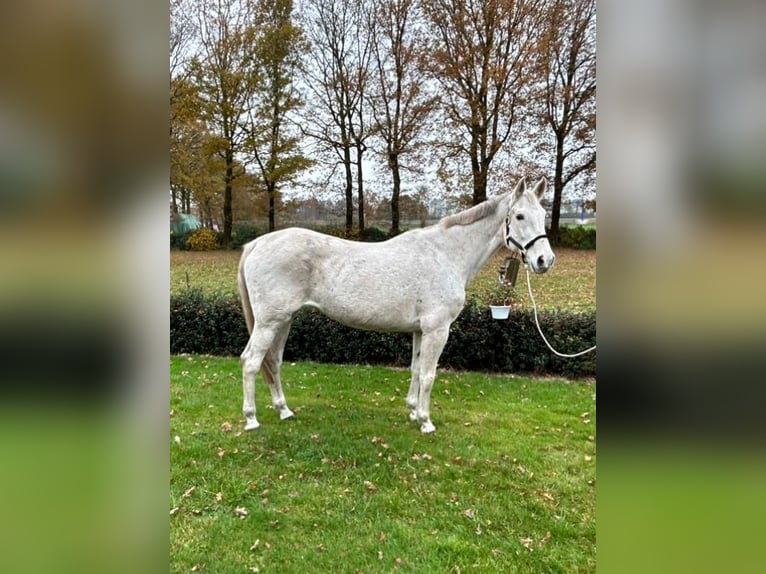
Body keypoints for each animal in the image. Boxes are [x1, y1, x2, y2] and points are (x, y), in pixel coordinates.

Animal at [237, 178, 556, 434]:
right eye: (519, 215)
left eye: (543, 215)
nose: (545, 260)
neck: (446, 254)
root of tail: (257, 244)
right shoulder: (438, 330)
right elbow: (428, 374)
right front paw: (426, 422)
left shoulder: (419, 331)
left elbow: (415, 369)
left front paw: (413, 411)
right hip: (269, 323)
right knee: (251, 362)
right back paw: (252, 419)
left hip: (284, 321)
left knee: (273, 362)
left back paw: (284, 410)